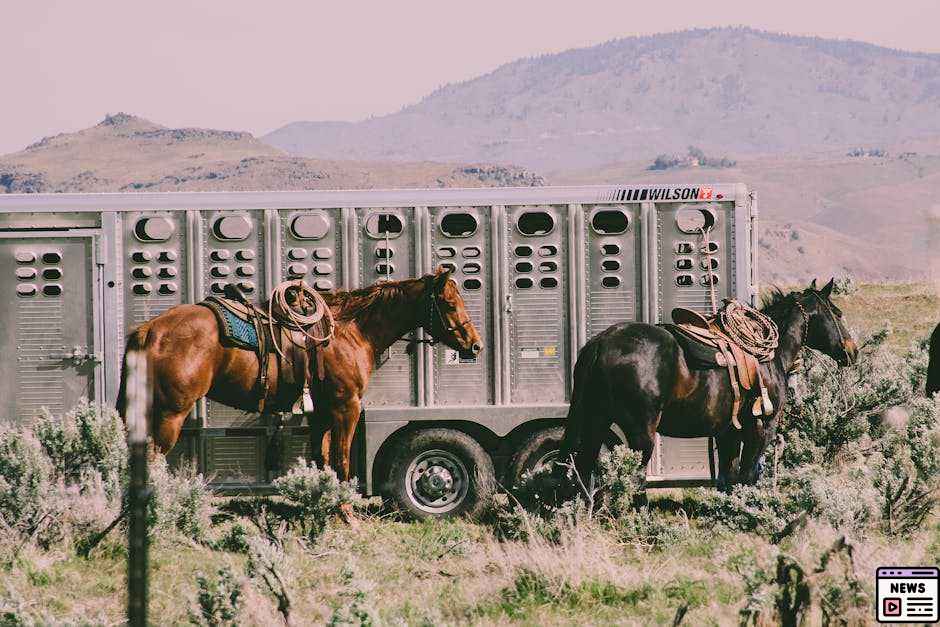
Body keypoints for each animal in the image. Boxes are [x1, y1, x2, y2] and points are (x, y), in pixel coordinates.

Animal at [115, 266, 484, 486]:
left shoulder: (322, 411)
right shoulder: (346, 406)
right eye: (450, 304)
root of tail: (149, 331)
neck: (351, 332)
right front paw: (349, 516)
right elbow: (342, 459)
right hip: (169, 414)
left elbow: (323, 458)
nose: (475, 344)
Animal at [560, 280, 860, 490]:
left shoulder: (728, 433)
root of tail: (601, 342)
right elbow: (747, 476)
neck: (770, 356)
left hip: (596, 423)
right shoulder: (761, 427)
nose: (852, 351)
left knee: (584, 471)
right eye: (837, 313)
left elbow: (728, 478)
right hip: (640, 434)